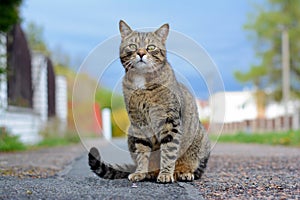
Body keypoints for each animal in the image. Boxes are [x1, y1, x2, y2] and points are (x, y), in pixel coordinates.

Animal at [89, 20, 211, 183]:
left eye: (151, 47)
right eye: (133, 46)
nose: (141, 53)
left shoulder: (170, 121)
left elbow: (169, 151)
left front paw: (165, 174)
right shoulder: (138, 123)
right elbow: (142, 152)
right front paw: (140, 172)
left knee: (192, 166)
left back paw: (183, 172)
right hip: (131, 132)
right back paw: (150, 173)